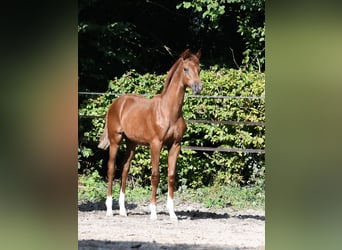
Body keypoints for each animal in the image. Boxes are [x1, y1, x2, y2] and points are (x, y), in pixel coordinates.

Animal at [97, 49, 202, 221]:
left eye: (199, 69)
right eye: (186, 69)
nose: (198, 88)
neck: (169, 111)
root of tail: (116, 103)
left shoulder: (175, 145)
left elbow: (171, 176)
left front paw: (173, 214)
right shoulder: (156, 144)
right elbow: (155, 175)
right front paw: (153, 212)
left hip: (131, 143)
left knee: (125, 168)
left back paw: (123, 210)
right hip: (115, 140)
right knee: (111, 169)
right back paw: (109, 210)